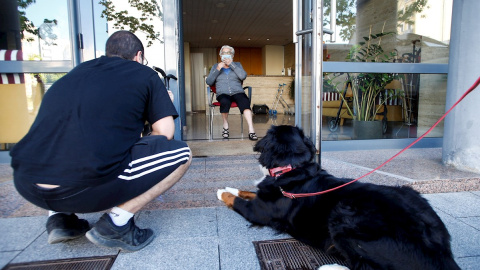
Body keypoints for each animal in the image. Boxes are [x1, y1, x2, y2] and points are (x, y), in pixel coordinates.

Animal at [218, 125, 462, 270]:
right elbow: (248, 192)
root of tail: (439, 250)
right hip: (409, 191)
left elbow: (239, 202)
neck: (292, 167)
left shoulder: (257, 212)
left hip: (343, 217)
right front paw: (230, 187)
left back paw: (330, 267)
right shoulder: (262, 198)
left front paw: (222, 193)